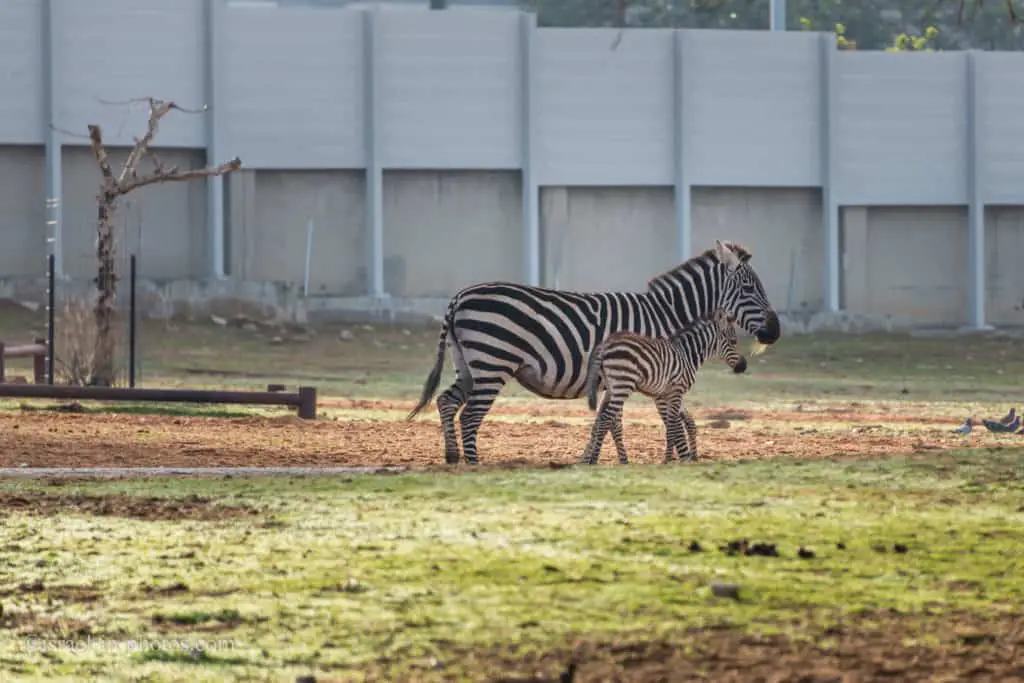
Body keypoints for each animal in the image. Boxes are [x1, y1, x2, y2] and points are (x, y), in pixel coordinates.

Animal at [581, 309, 749, 464]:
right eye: (733, 341)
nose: (743, 366)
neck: (687, 355)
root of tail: (605, 344)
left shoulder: (672, 394)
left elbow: (684, 422)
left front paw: (690, 455)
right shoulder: (675, 391)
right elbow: (673, 425)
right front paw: (668, 459)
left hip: (611, 387)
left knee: (602, 418)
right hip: (623, 384)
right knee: (606, 418)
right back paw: (594, 459)